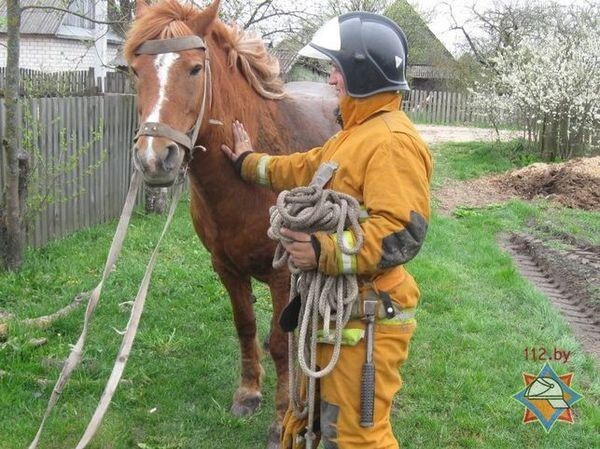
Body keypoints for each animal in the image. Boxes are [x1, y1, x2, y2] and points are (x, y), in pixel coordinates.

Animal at [123, 0, 338, 444]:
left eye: (194, 69)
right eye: (136, 70)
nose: (155, 159)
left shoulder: (282, 273)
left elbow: (280, 341)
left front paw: (280, 418)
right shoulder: (225, 268)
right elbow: (246, 326)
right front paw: (249, 394)